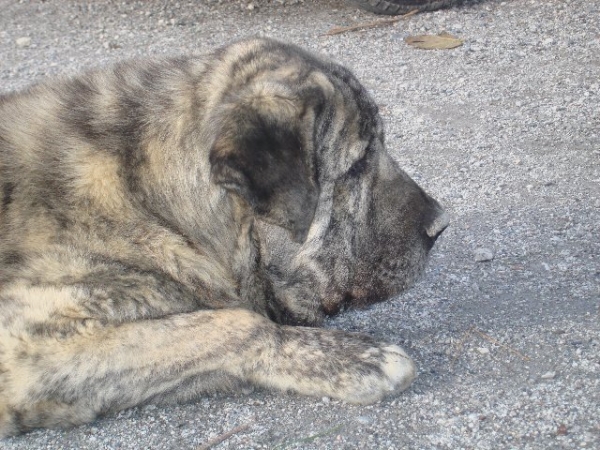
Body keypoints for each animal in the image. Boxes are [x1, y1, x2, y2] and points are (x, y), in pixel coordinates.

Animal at [0, 37, 448, 436]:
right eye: (356, 166)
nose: (440, 224)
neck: (151, 201)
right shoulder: (26, 347)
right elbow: (236, 322)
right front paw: (355, 357)